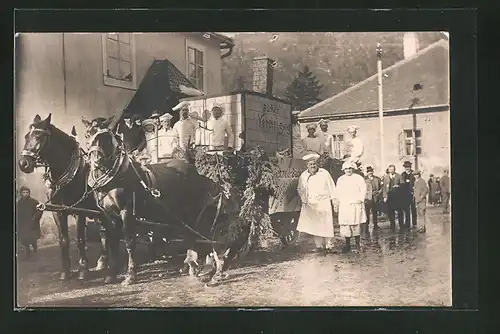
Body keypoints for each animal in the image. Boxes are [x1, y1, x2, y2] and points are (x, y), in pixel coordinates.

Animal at [19, 114, 122, 282]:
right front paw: (65, 271)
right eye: (27, 136)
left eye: (39, 136)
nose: (23, 163)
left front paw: (83, 270)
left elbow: (80, 239)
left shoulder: (79, 210)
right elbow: (63, 240)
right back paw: (103, 261)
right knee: (105, 232)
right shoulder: (58, 211)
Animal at [82, 121, 246, 286]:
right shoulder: (109, 214)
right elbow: (113, 242)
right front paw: (111, 274)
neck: (116, 178)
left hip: (191, 211)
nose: (96, 161)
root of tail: (193, 170)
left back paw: (194, 265)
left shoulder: (126, 212)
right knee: (186, 233)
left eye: (106, 137)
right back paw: (188, 265)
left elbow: (129, 243)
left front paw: (130, 275)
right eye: (88, 134)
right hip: (176, 212)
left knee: (193, 234)